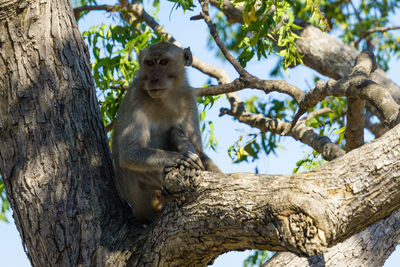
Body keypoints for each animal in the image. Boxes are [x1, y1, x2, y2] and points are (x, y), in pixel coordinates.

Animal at [111, 42, 220, 224]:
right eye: (149, 63)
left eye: (163, 62)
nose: (154, 79)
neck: (164, 99)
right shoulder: (135, 96)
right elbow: (129, 152)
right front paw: (181, 158)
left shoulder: (188, 99)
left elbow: (199, 150)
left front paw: (186, 149)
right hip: (143, 202)